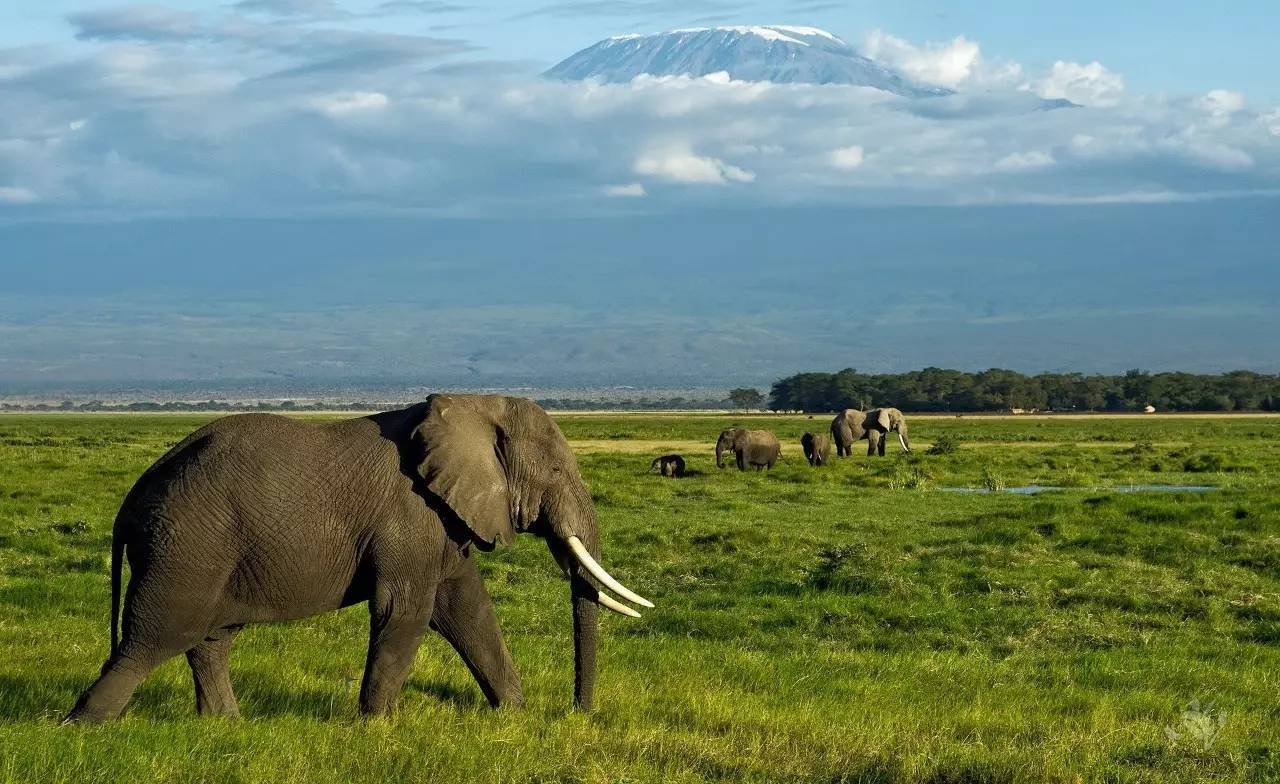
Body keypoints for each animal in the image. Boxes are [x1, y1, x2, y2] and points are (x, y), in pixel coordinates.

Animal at [64, 394, 655, 727]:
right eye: (555, 471)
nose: (579, 713)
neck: (471, 406)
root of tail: (134, 495)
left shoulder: (443, 519)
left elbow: (466, 608)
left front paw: (514, 717)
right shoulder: (410, 514)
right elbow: (406, 611)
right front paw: (377, 729)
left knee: (209, 640)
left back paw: (224, 727)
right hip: (186, 546)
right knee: (154, 637)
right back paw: (82, 727)